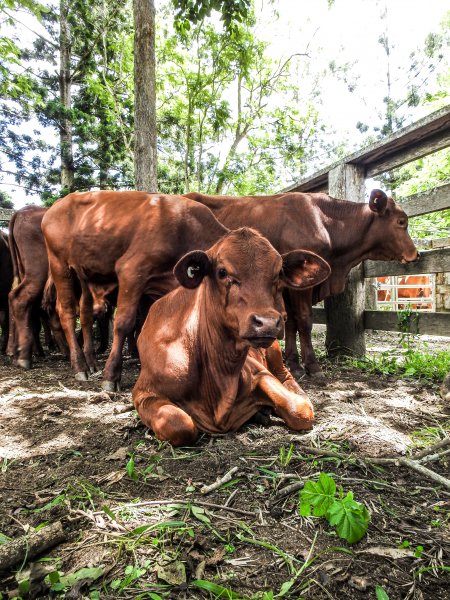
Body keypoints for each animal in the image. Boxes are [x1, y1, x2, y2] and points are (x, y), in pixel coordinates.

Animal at [40, 190, 232, 392]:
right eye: (225, 274)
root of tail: (59, 203)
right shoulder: (131, 271)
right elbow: (124, 323)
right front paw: (111, 375)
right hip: (60, 266)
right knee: (66, 312)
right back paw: (80, 367)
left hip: (84, 275)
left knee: (85, 314)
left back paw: (91, 362)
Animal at [132, 227, 328, 442]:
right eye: (222, 272)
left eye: (278, 273)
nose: (267, 322)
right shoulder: (144, 393)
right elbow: (179, 425)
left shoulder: (259, 372)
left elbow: (300, 411)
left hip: (274, 352)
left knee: (287, 376)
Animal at [185, 188, 418, 378]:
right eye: (401, 221)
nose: (415, 254)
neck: (323, 221)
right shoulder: (301, 288)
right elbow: (304, 320)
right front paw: (312, 365)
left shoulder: (288, 285)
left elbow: (289, 321)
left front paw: (292, 362)